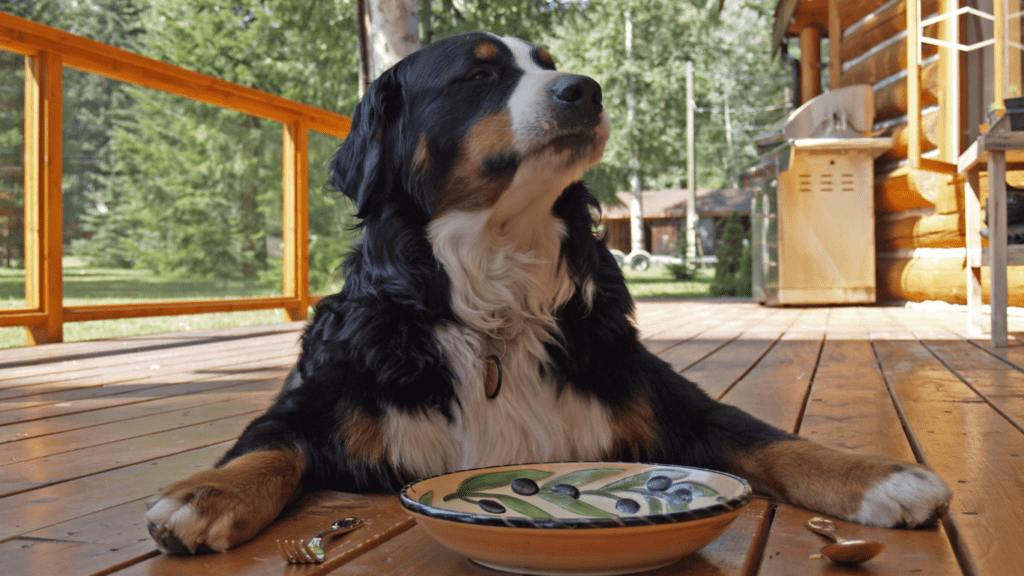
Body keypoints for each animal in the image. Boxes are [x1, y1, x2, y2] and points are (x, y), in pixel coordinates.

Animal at [142, 31, 950, 553]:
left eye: (550, 66)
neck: (495, 296)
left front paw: (878, 477)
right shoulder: (318, 401)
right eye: (478, 76)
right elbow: (268, 450)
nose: (585, 90)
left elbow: (770, 439)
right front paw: (202, 494)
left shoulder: (662, 397)